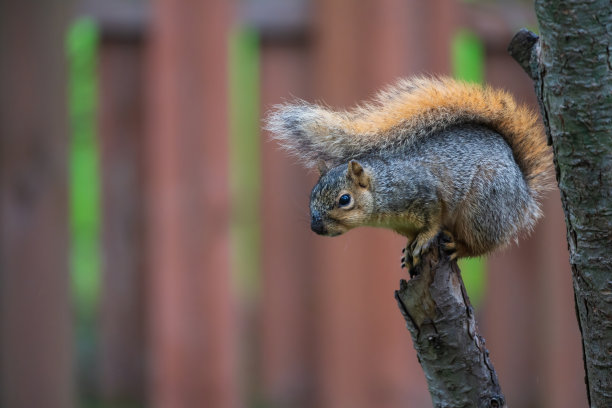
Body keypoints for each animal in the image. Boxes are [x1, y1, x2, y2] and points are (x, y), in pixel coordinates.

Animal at [266, 76, 552, 270]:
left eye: (344, 200)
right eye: (311, 195)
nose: (316, 227)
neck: (383, 188)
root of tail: (524, 196)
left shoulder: (424, 193)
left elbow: (434, 219)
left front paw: (424, 239)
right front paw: (409, 249)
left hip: (484, 208)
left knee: (481, 246)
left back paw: (458, 246)